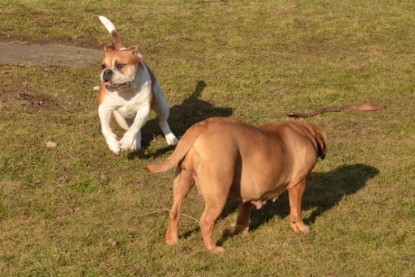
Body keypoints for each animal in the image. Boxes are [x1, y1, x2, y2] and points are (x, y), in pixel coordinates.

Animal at [146, 116, 328, 252]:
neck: (306, 132)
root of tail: (200, 128)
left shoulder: (247, 192)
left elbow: (243, 213)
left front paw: (240, 231)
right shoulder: (298, 183)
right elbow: (296, 210)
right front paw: (301, 227)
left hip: (183, 182)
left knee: (174, 212)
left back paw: (172, 240)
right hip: (218, 194)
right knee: (206, 221)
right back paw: (213, 249)